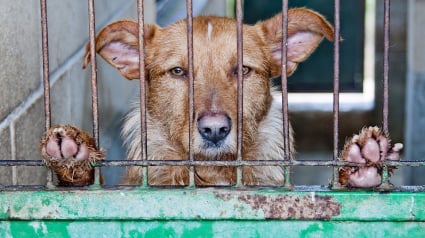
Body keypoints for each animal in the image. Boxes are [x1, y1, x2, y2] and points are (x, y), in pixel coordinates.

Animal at [39, 7, 400, 188]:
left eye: (243, 70)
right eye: (178, 72)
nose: (214, 130)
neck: (214, 174)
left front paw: (359, 166)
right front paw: (74, 159)